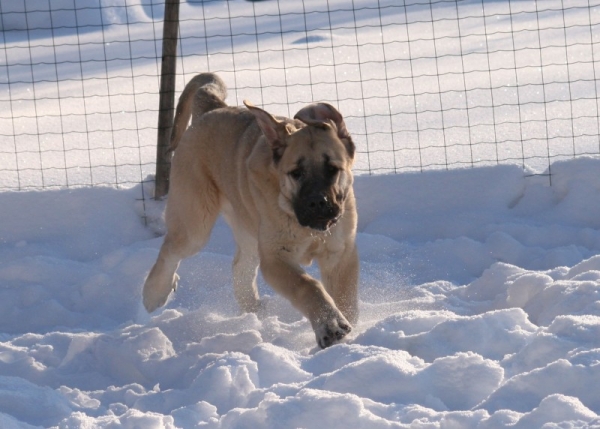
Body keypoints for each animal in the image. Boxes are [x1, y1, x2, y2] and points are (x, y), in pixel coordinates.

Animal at [143, 72, 358, 348]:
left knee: (240, 267)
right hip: (195, 222)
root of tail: (212, 108)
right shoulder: (275, 257)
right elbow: (308, 286)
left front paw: (348, 327)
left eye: (332, 168)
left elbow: (344, 295)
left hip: (248, 229)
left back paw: (255, 313)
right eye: (296, 173)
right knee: (170, 251)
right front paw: (330, 326)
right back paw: (154, 293)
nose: (317, 202)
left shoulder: (340, 252)